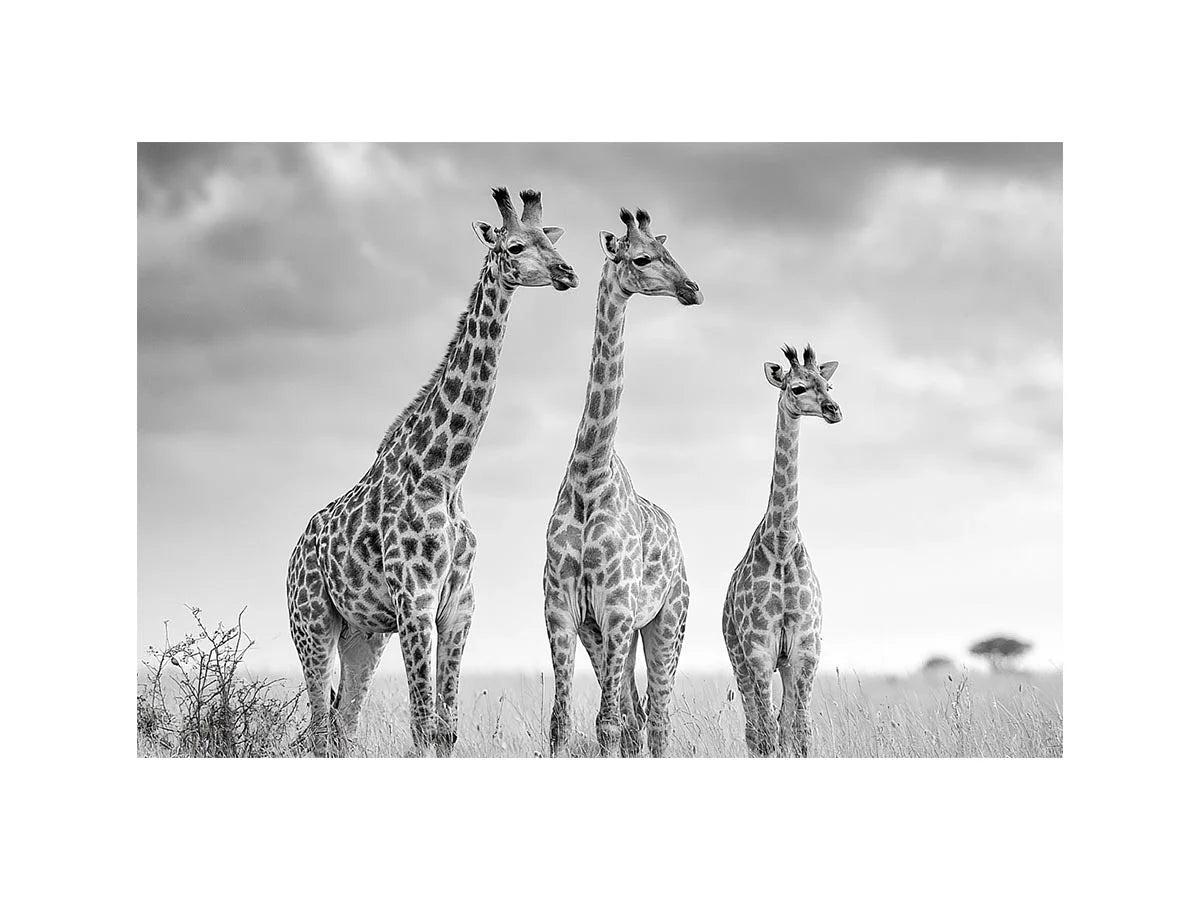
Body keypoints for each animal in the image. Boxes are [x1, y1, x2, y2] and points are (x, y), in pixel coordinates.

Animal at [287, 187, 578, 757]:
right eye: (514, 246)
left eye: (547, 239)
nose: (567, 271)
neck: (446, 473)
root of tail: (291, 555)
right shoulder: (415, 604)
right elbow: (423, 725)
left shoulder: (458, 606)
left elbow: (446, 729)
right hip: (312, 624)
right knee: (318, 728)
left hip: (363, 634)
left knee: (344, 725)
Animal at [543, 207, 703, 758]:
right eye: (642, 258)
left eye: (668, 250)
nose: (692, 289)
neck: (590, 476)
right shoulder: (565, 611)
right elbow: (563, 723)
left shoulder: (615, 609)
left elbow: (607, 724)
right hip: (616, 634)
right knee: (637, 717)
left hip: (666, 622)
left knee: (658, 718)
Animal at [722, 343, 842, 757]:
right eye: (797, 388)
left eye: (827, 383)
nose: (834, 410)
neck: (782, 543)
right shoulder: (759, 650)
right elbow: (768, 735)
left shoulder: (805, 650)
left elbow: (799, 733)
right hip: (739, 659)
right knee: (755, 729)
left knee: (781, 723)